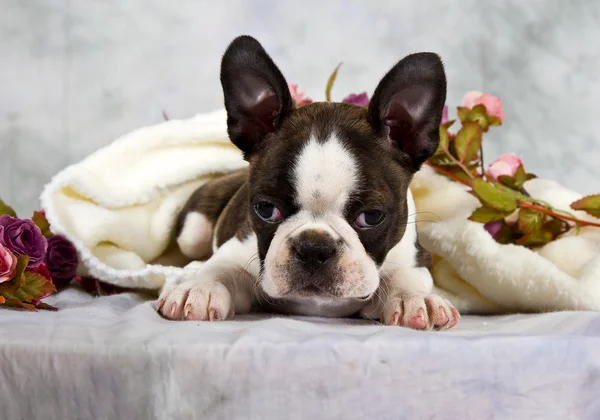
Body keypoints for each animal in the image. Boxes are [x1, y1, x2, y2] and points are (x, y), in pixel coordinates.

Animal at [156, 35, 460, 332]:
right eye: (266, 209)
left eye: (372, 216)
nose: (314, 248)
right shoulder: (237, 248)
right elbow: (219, 268)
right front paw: (200, 288)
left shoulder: (415, 258)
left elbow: (405, 276)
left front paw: (415, 299)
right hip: (192, 231)